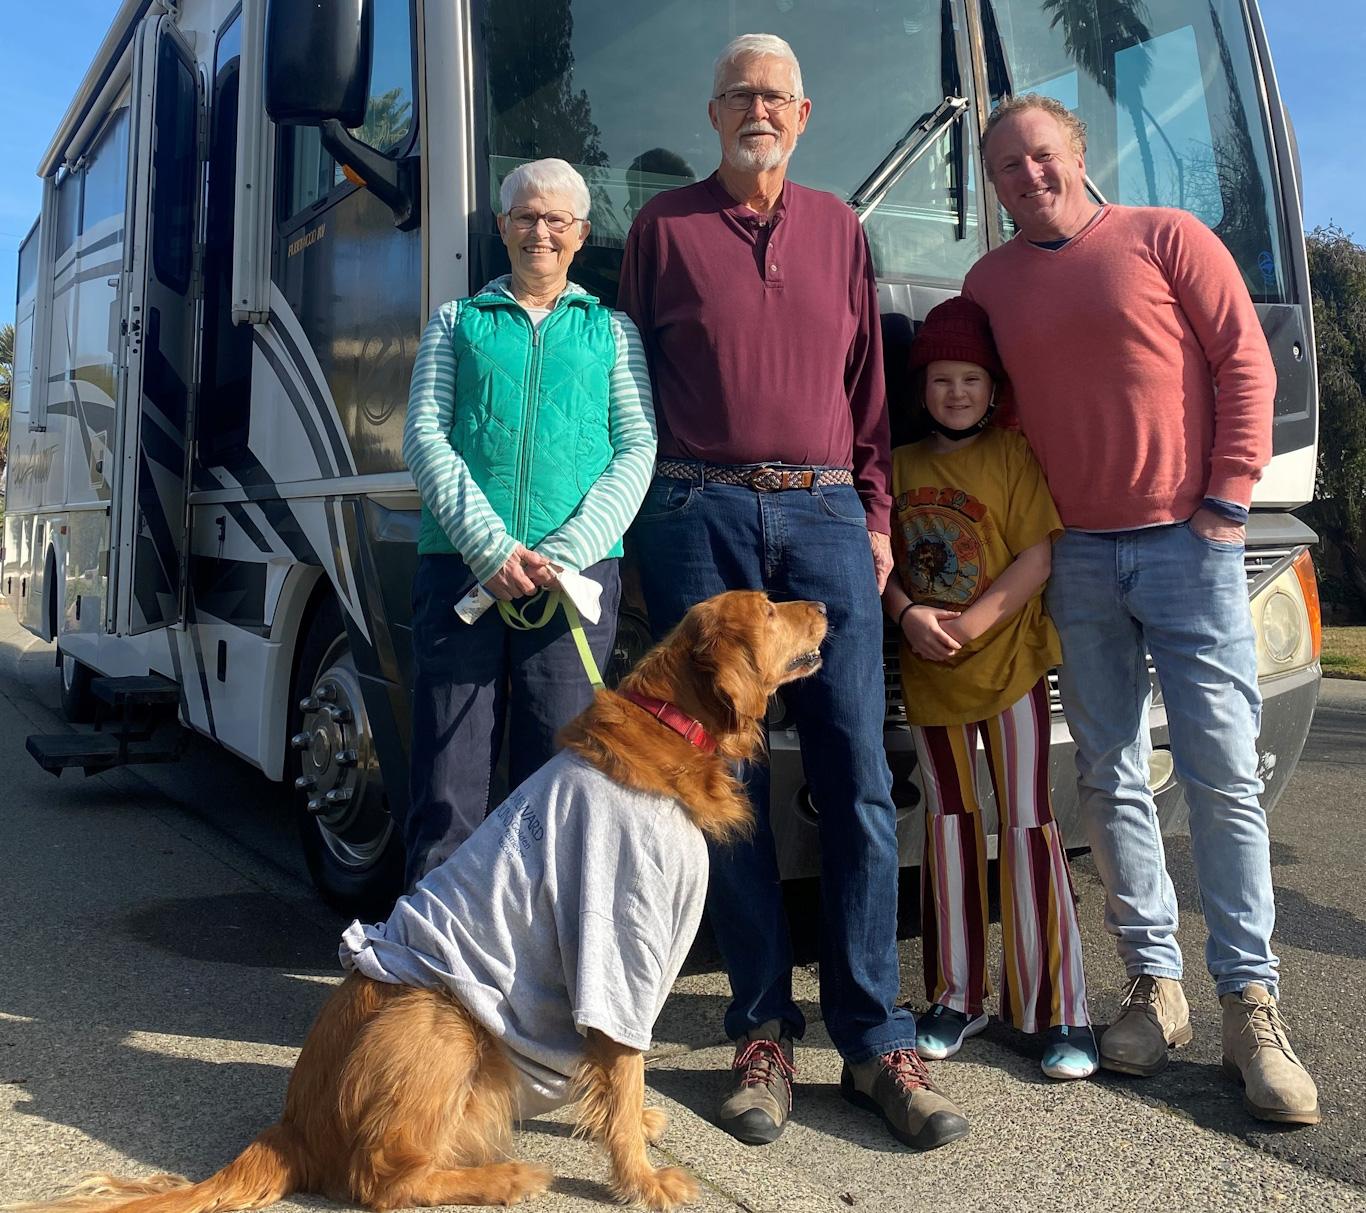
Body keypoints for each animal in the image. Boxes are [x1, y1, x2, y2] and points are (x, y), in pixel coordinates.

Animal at [10, 590, 825, 1213]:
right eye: (770, 608)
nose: (822, 604)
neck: (672, 729)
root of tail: (292, 1124)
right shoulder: (616, 946)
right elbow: (624, 1072)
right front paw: (644, 1181)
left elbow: (620, 1085)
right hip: (441, 1018)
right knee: (381, 1179)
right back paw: (503, 1176)